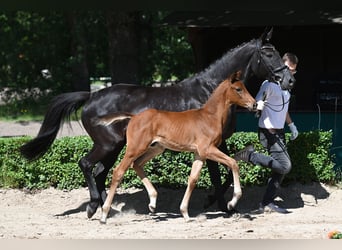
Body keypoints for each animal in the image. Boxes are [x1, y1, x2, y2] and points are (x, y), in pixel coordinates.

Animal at [95, 71, 255, 224]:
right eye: (238, 89)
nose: (254, 104)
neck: (210, 117)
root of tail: (133, 117)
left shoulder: (199, 154)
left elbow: (193, 179)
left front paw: (185, 213)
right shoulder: (208, 149)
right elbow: (233, 163)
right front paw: (232, 202)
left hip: (156, 148)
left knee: (137, 164)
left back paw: (152, 203)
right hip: (135, 148)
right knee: (118, 171)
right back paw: (104, 214)